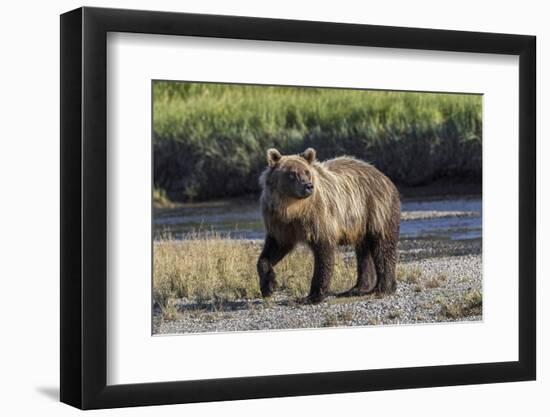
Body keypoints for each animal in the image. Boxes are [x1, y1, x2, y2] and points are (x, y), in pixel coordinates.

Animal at [256, 147, 404, 302]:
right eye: (291, 174)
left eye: (307, 172)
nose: (308, 186)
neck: (293, 209)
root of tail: (384, 177)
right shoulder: (279, 224)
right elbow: (273, 250)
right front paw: (268, 286)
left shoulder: (318, 218)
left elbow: (323, 253)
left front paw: (313, 296)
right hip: (361, 223)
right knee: (363, 252)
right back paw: (357, 288)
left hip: (376, 210)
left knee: (382, 246)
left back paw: (384, 288)